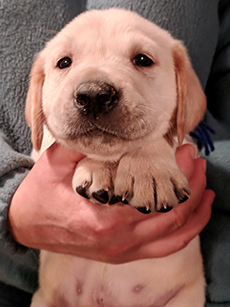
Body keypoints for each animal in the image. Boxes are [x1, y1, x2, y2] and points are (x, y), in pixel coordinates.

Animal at [26, 8, 207, 306]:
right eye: (64, 62)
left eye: (143, 60)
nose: (93, 95)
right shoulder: (42, 149)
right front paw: (99, 169)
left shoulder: (187, 140)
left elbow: (156, 135)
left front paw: (149, 170)